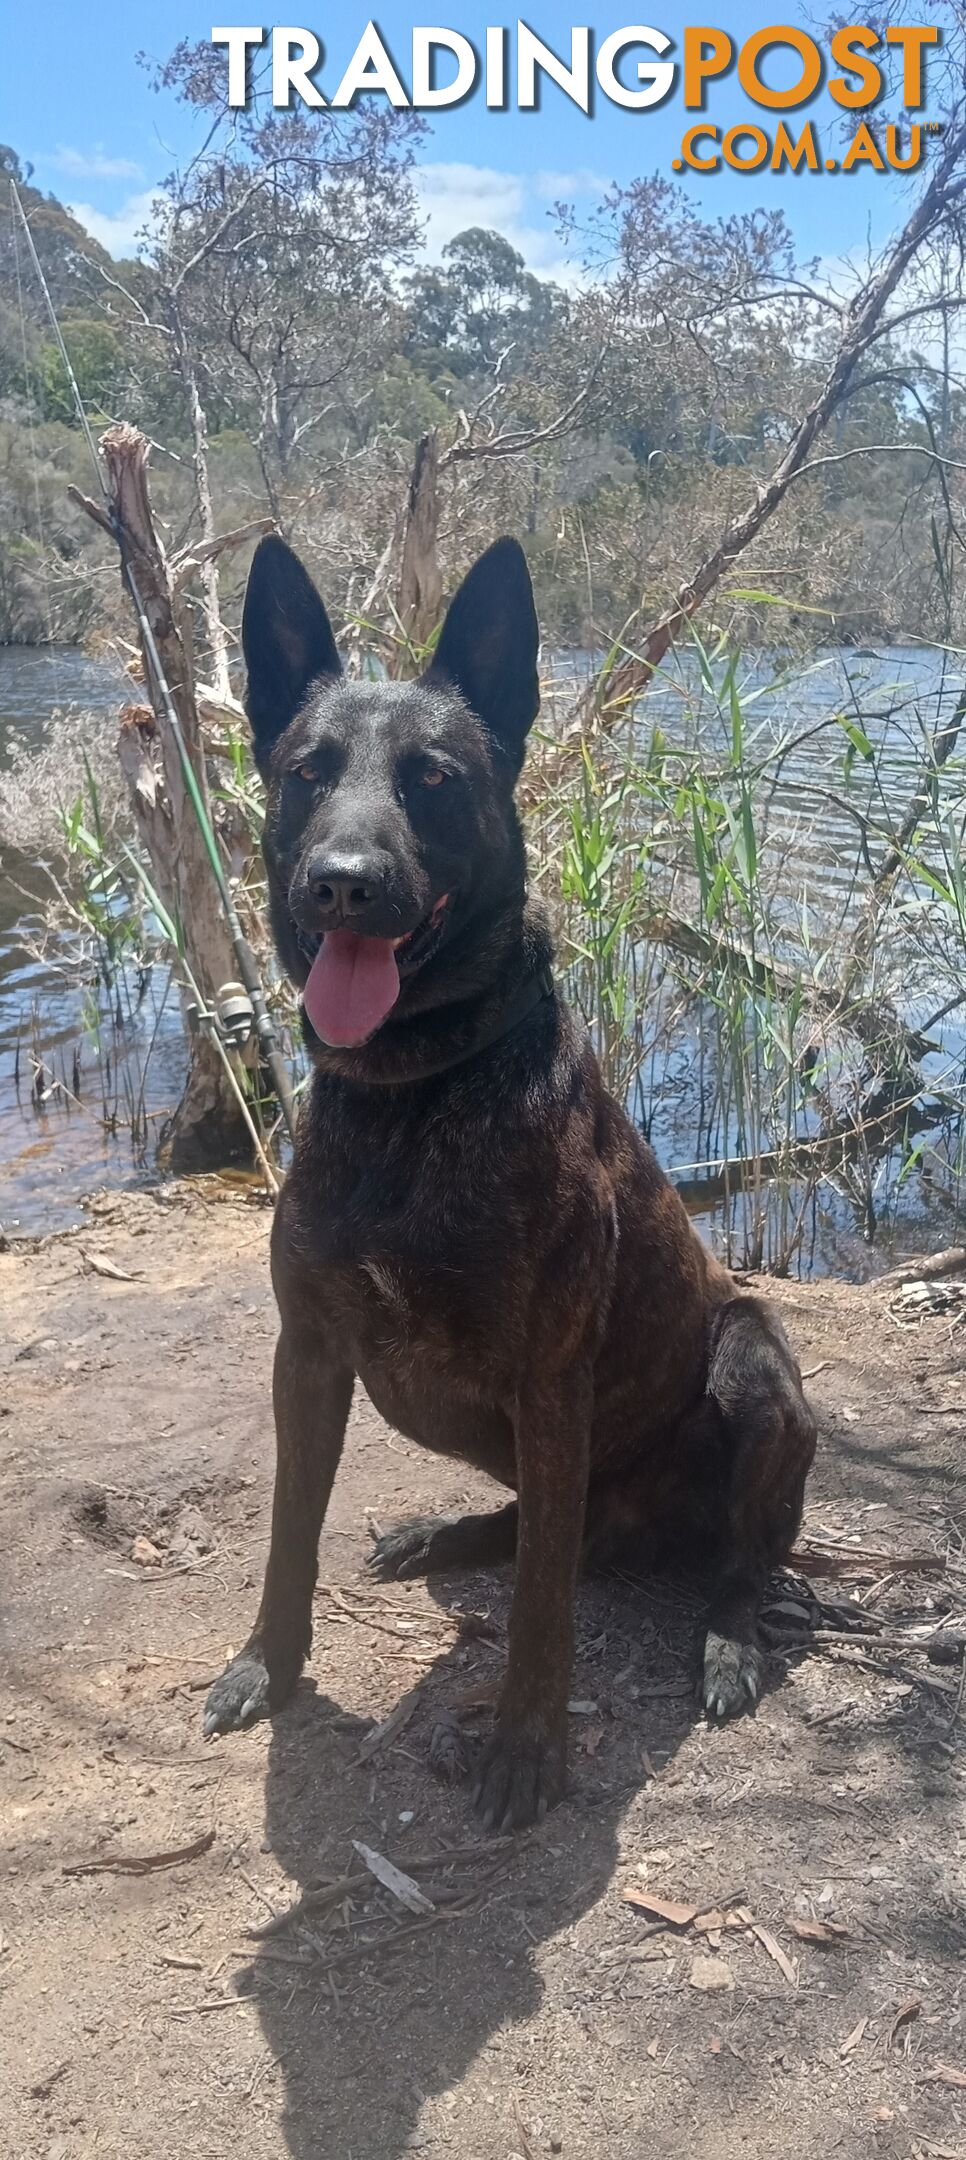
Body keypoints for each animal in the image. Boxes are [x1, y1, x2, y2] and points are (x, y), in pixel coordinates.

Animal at [204, 535, 816, 1823]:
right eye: (305, 772)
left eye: (431, 778)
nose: (340, 881)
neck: (410, 1091)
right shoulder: (309, 1355)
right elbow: (289, 1533)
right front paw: (266, 1665)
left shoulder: (550, 1379)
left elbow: (542, 1605)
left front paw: (528, 1745)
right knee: (544, 1527)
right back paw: (445, 1539)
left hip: (751, 1361)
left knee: (724, 1561)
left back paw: (728, 1643)